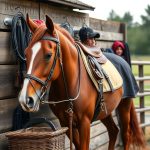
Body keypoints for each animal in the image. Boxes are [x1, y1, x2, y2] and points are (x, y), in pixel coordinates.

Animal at [18, 14, 145, 150]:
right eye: (26, 53)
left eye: (48, 55)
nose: (26, 99)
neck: (70, 85)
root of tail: (123, 61)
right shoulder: (66, 123)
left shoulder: (85, 123)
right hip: (105, 111)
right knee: (113, 131)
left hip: (124, 105)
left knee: (126, 135)